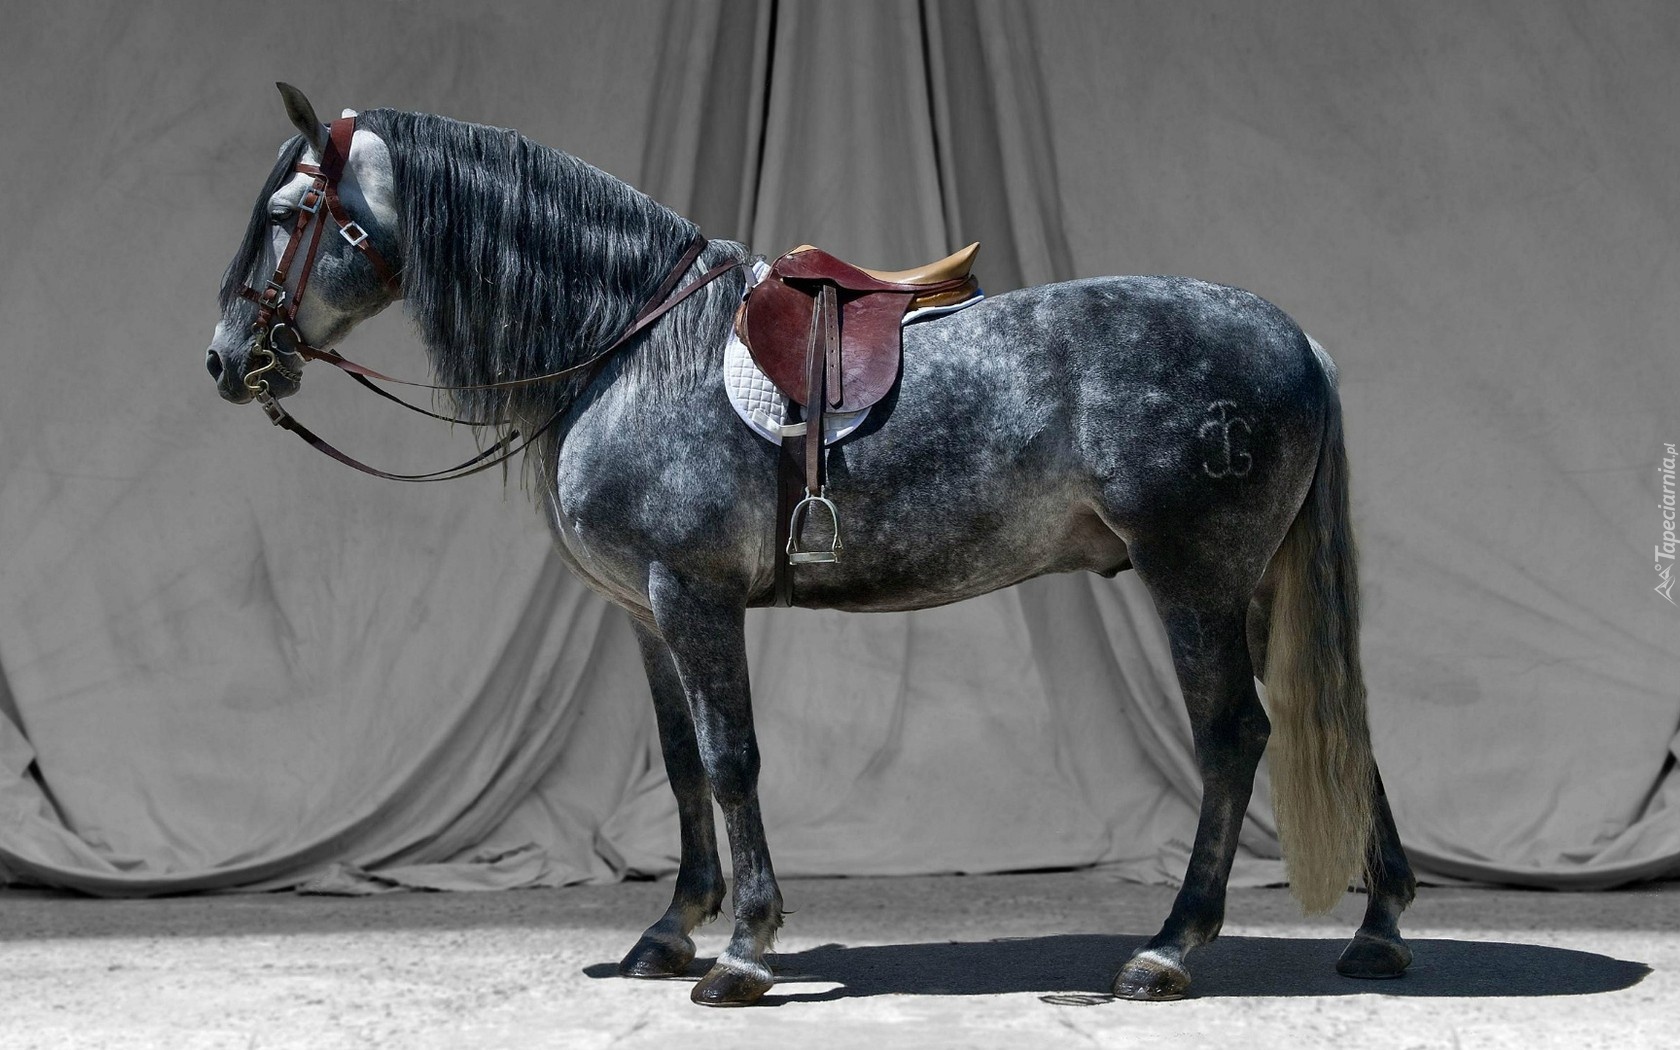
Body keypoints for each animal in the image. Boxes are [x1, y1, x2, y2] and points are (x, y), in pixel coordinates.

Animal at [204, 84, 1416, 1006]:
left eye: (292, 211)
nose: (225, 359)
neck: (632, 346)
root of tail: (1298, 341)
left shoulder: (692, 595)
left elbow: (733, 761)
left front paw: (742, 951)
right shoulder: (646, 613)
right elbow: (684, 762)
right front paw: (670, 931)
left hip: (1194, 581)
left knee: (1235, 739)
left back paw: (1168, 949)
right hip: (1257, 588)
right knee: (1336, 724)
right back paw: (1379, 932)